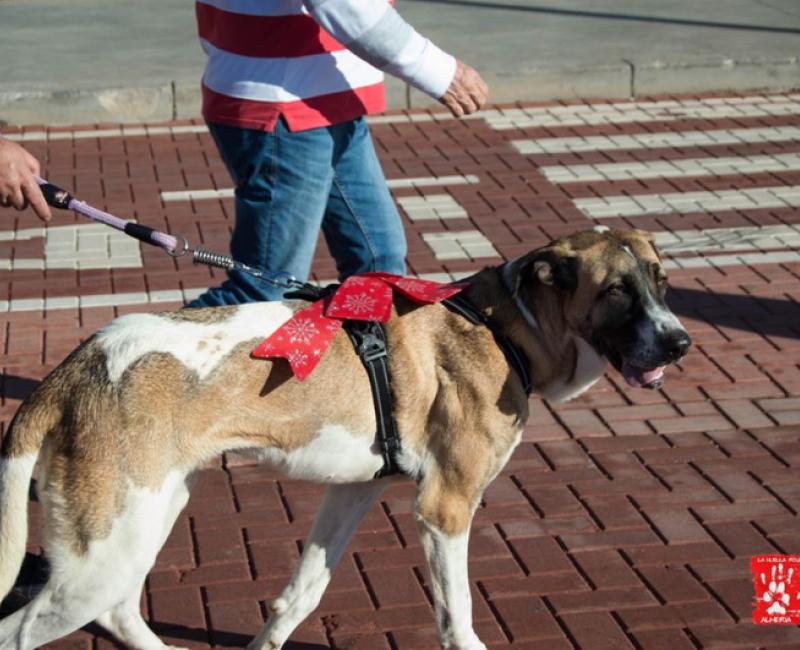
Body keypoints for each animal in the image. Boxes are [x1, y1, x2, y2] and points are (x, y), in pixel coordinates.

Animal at [0, 227, 690, 650]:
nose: (681, 343)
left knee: (118, 608)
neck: (503, 325)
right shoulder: (445, 509)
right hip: (106, 549)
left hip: (144, 518)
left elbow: (301, 593)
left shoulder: (353, 491)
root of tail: (75, 366)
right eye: (617, 292)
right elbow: (457, 619)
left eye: (661, 282)